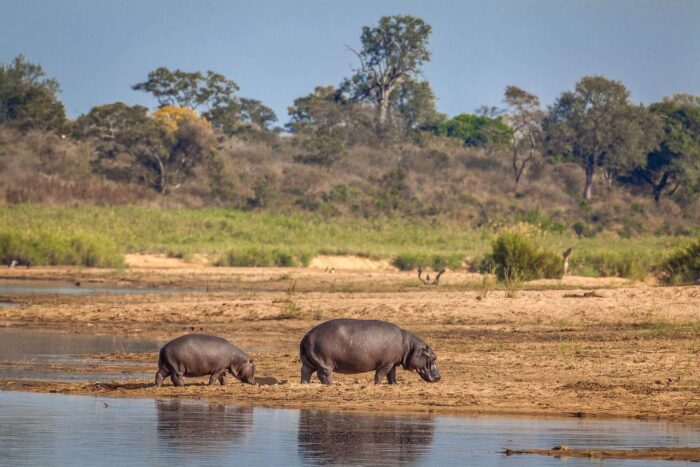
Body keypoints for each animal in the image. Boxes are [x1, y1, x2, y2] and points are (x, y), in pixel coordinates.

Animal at [298, 320, 440, 386]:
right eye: (433, 357)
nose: (439, 377)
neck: (410, 346)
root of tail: (306, 335)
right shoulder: (386, 363)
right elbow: (380, 375)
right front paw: (377, 385)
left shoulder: (392, 363)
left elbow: (391, 375)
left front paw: (394, 384)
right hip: (324, 363)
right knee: (324, 375)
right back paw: (330, 384)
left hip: (310, 362)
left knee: (305, 372)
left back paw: (305, 384)